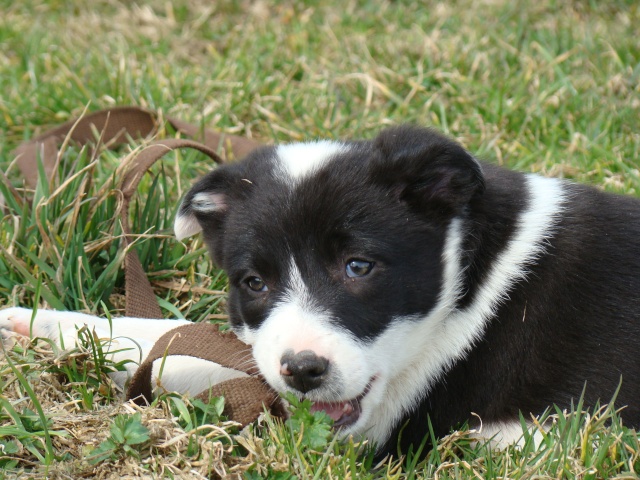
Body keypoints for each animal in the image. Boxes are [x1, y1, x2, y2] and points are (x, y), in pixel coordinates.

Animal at [1, 125, 640, 456]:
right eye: (254, 283)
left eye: (358, 267)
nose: (303, 371)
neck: (466, 282)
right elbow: (183, 345)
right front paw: (39, 327)